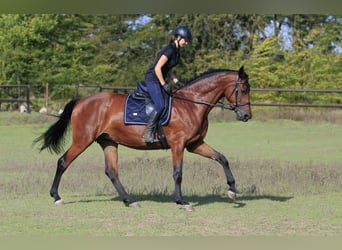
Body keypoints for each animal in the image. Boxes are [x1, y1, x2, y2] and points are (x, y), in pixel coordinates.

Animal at [34, 66, 251, 211]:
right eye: (243, 90)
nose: (247, 116)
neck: (191, 104)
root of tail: (82, 101)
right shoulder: (178, 145)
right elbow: (178, 173)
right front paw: (181, 201)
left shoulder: (194, 144)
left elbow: (222, 158)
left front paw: (232, 189)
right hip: (82, 140)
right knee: (63, 162)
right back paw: (56, 197)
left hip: (109, 142)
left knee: (112, 172)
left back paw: (130, 200)